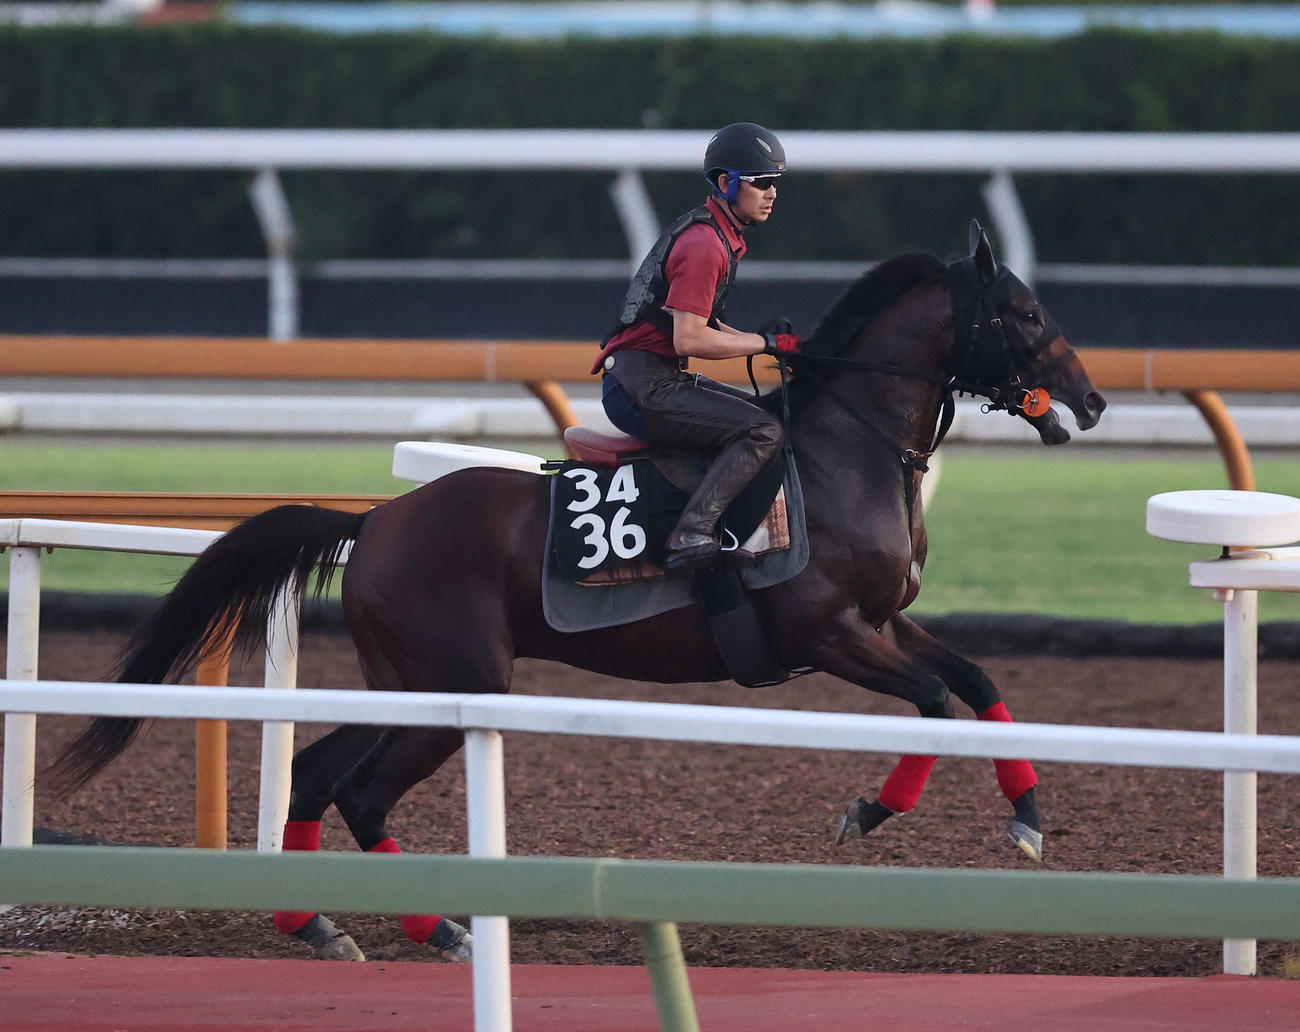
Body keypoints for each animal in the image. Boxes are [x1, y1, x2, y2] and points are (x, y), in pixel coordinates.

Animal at [50, 222, 1106, 962]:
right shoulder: (827, 631)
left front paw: (1027, 819)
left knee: (317, 772)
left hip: (410, 682)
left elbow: (975, 683)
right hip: (454, 684)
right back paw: (441, 930)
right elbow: (932, 702)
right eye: (1022, 313)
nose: (1092, 402)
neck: (845, 450)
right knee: (361, 791)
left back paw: (316, 923)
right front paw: (871, 810)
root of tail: (377, 520)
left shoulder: (887, 618)